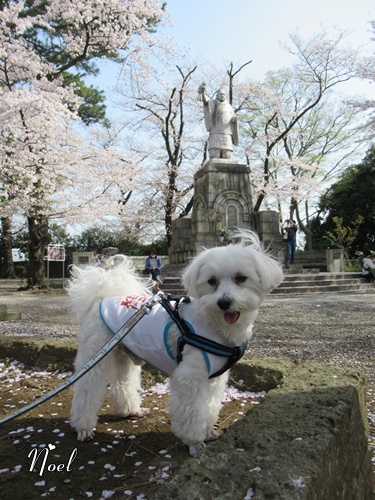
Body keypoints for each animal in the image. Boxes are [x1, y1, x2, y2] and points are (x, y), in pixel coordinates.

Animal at [68, 232, 284, 456]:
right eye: (211, 281)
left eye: (241, 278)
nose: (224, 302)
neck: (214, 324)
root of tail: (102, 298)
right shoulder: (190, 378)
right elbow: (193, 411)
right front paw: (195, 442)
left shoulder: (214, 379)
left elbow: (209, 406)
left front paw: (208, 431)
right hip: (95, 356)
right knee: (86, 389)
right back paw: (83, 427)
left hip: (122, 354)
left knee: (122, 384)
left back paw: (131, 410)